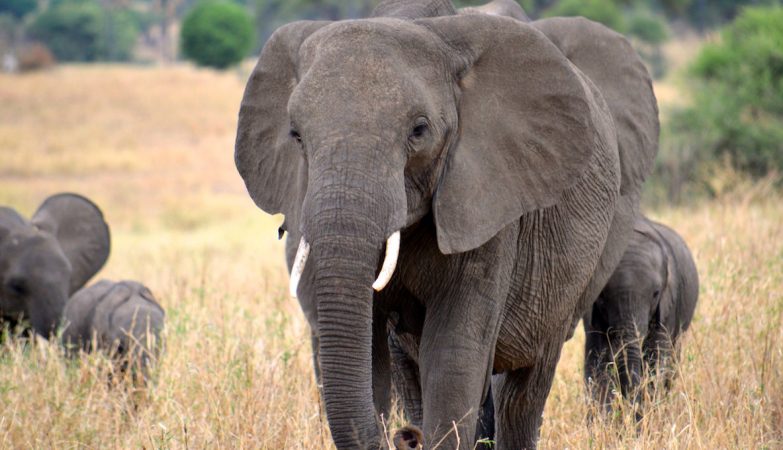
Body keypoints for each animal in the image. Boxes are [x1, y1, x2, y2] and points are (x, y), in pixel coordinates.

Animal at [234, 0, 658, 448]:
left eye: (419, 130)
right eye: (296, 135)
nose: (404, 436)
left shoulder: (488, 195)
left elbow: (453, 353)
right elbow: (371, 347)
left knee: (523, 391)